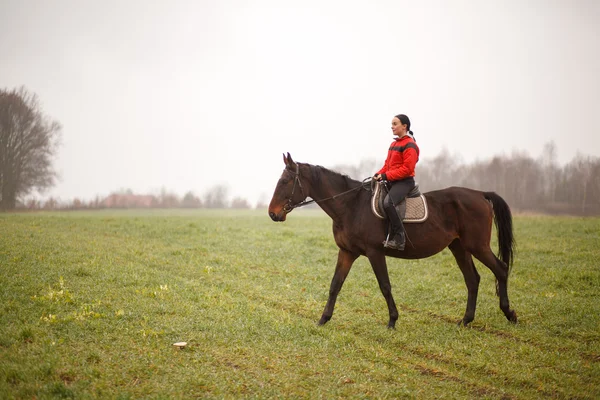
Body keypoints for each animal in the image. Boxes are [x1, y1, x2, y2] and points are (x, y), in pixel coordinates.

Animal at [270, 153, 516, 328]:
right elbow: (335, 285)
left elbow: (385, 285)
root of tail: (480, 194)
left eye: (286, 181)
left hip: (478, 246)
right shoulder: (347, 252)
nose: (272, 214)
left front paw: (392, 321)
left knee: (501, 269)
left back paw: (510, 314)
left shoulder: (375, 252)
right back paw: (465, 320)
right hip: (459, 247)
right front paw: (323, 319)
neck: (351, 205)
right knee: (472, 279)